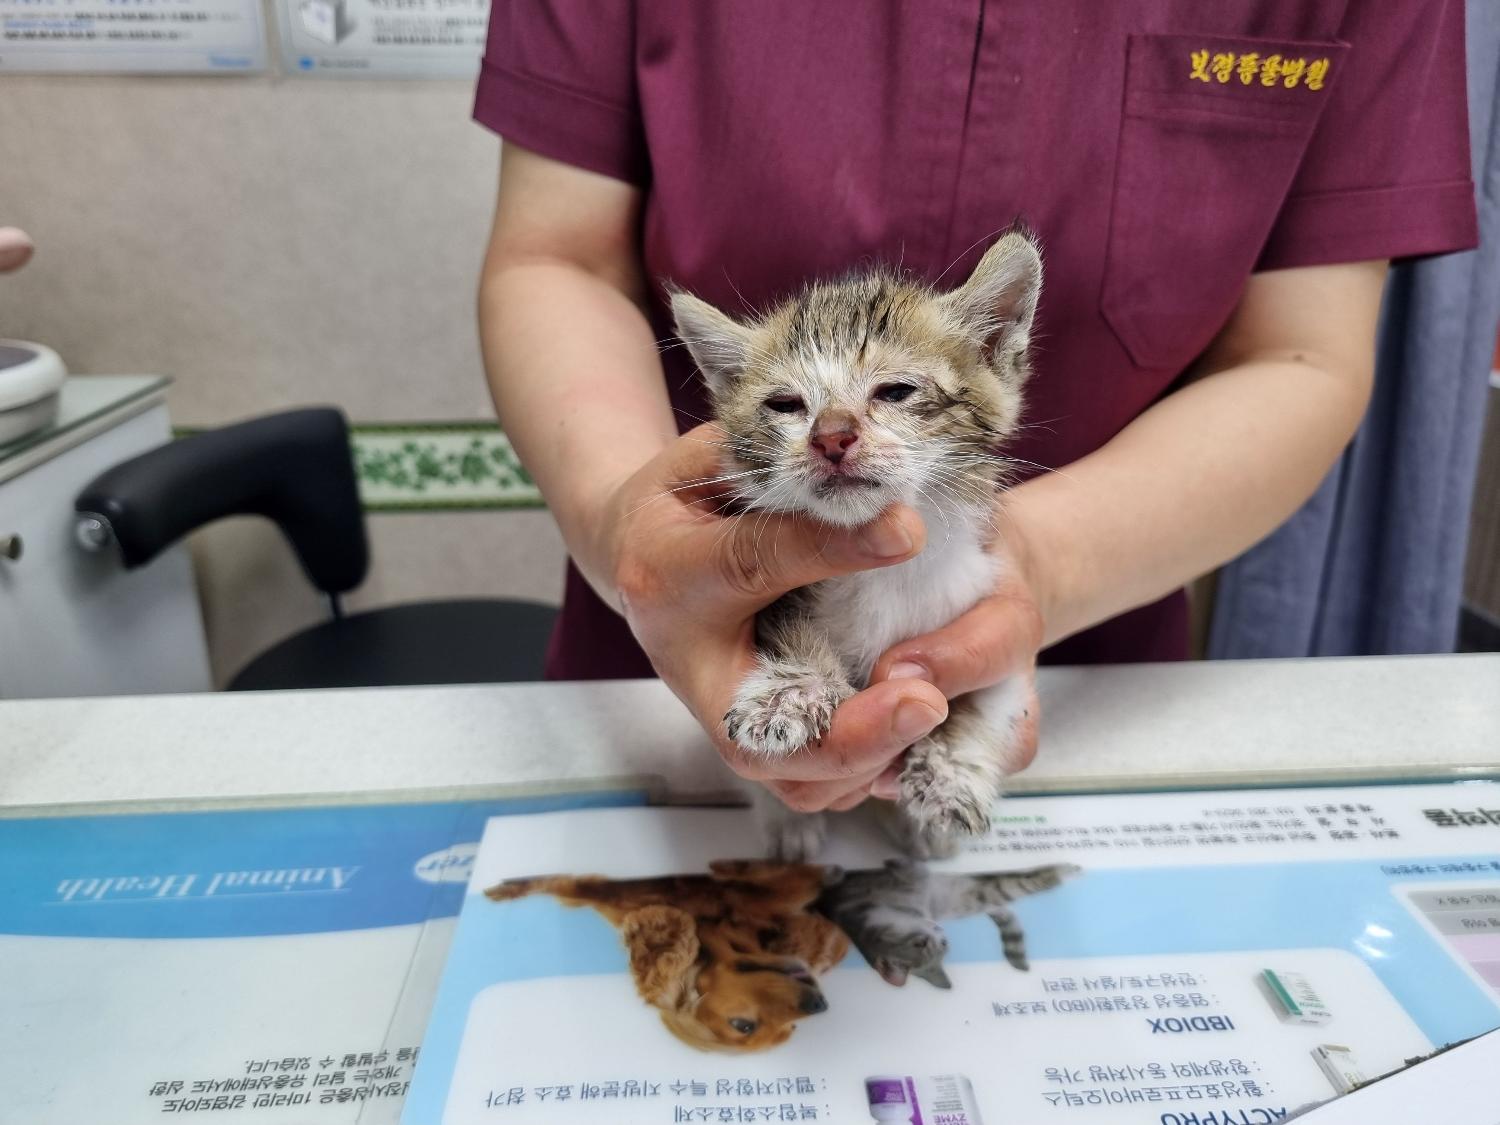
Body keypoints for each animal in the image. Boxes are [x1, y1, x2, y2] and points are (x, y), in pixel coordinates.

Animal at [672, 231, 1044, 864]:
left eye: (895, 391)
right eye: (785, 404)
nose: (831, 437)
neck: (886, 576)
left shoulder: (989, 619)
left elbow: (984, 702)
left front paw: (948, 776)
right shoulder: (777, 602)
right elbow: (791, 629)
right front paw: (791, 690)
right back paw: (788, 826)